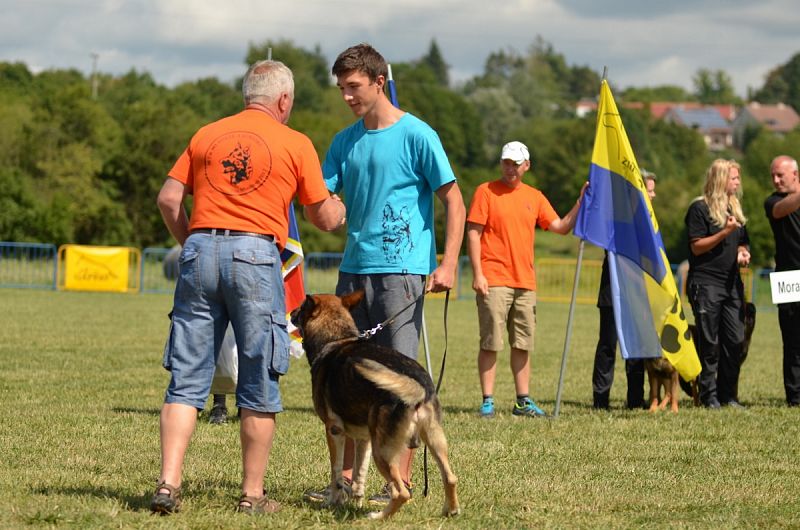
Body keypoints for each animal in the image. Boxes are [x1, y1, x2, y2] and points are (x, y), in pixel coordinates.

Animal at [290, 288, 460, 516]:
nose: (291, 312)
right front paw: (356, 504)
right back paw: (450, 511)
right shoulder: (364, 438)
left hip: (384, 452)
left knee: (401, 492)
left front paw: (333, 502)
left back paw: (378, 516)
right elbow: (358, 476)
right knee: (450, 477)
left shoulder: (334, 431)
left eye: (300, 308)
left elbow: (336, 473)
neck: (336, 339)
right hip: (433, 440)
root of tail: (417, 387)